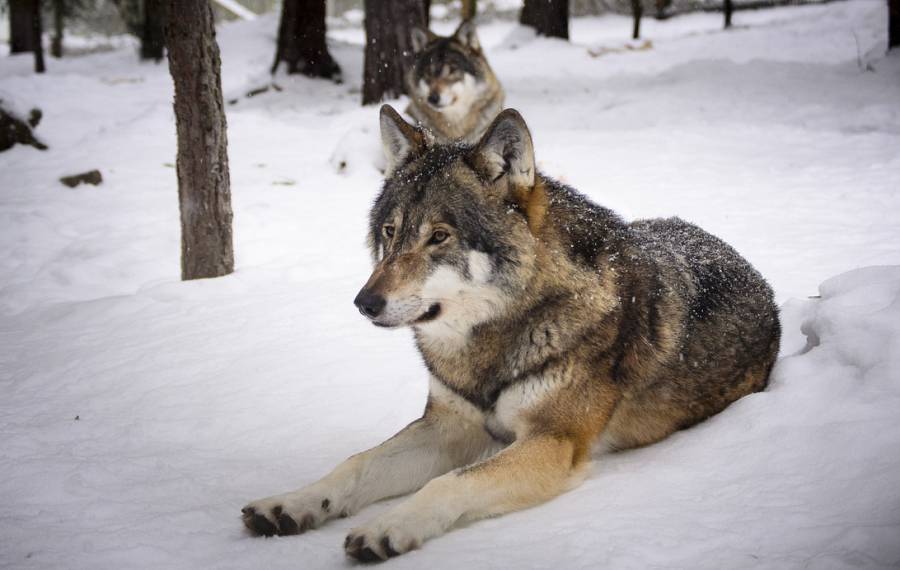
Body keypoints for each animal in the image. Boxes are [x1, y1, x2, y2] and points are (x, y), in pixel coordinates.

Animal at [244, 105, 780, 560]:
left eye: (439, 236)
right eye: (391, 232)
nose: (364, 303)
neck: (494, 337)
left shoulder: (552, 442)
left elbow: (449, 482)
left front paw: (387, 527)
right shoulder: (448, 426)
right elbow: (358, 462)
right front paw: (292, 504)